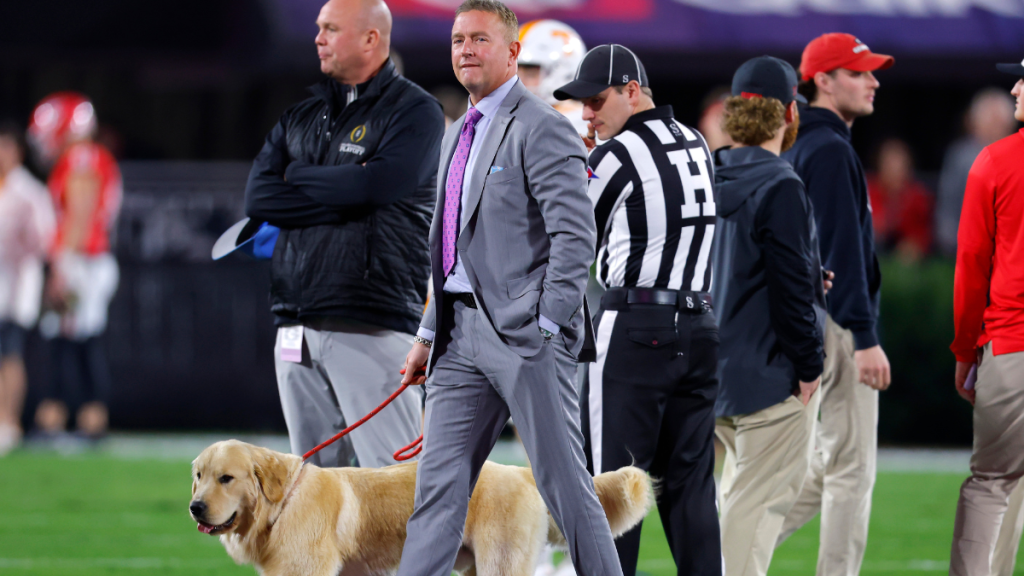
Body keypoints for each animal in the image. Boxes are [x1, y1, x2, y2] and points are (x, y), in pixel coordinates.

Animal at [192, 438, 651, 569]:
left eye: (226, 478)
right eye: (198, 476)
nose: (196, 507)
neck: (282, 504)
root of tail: (521, 472)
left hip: (499, 563)